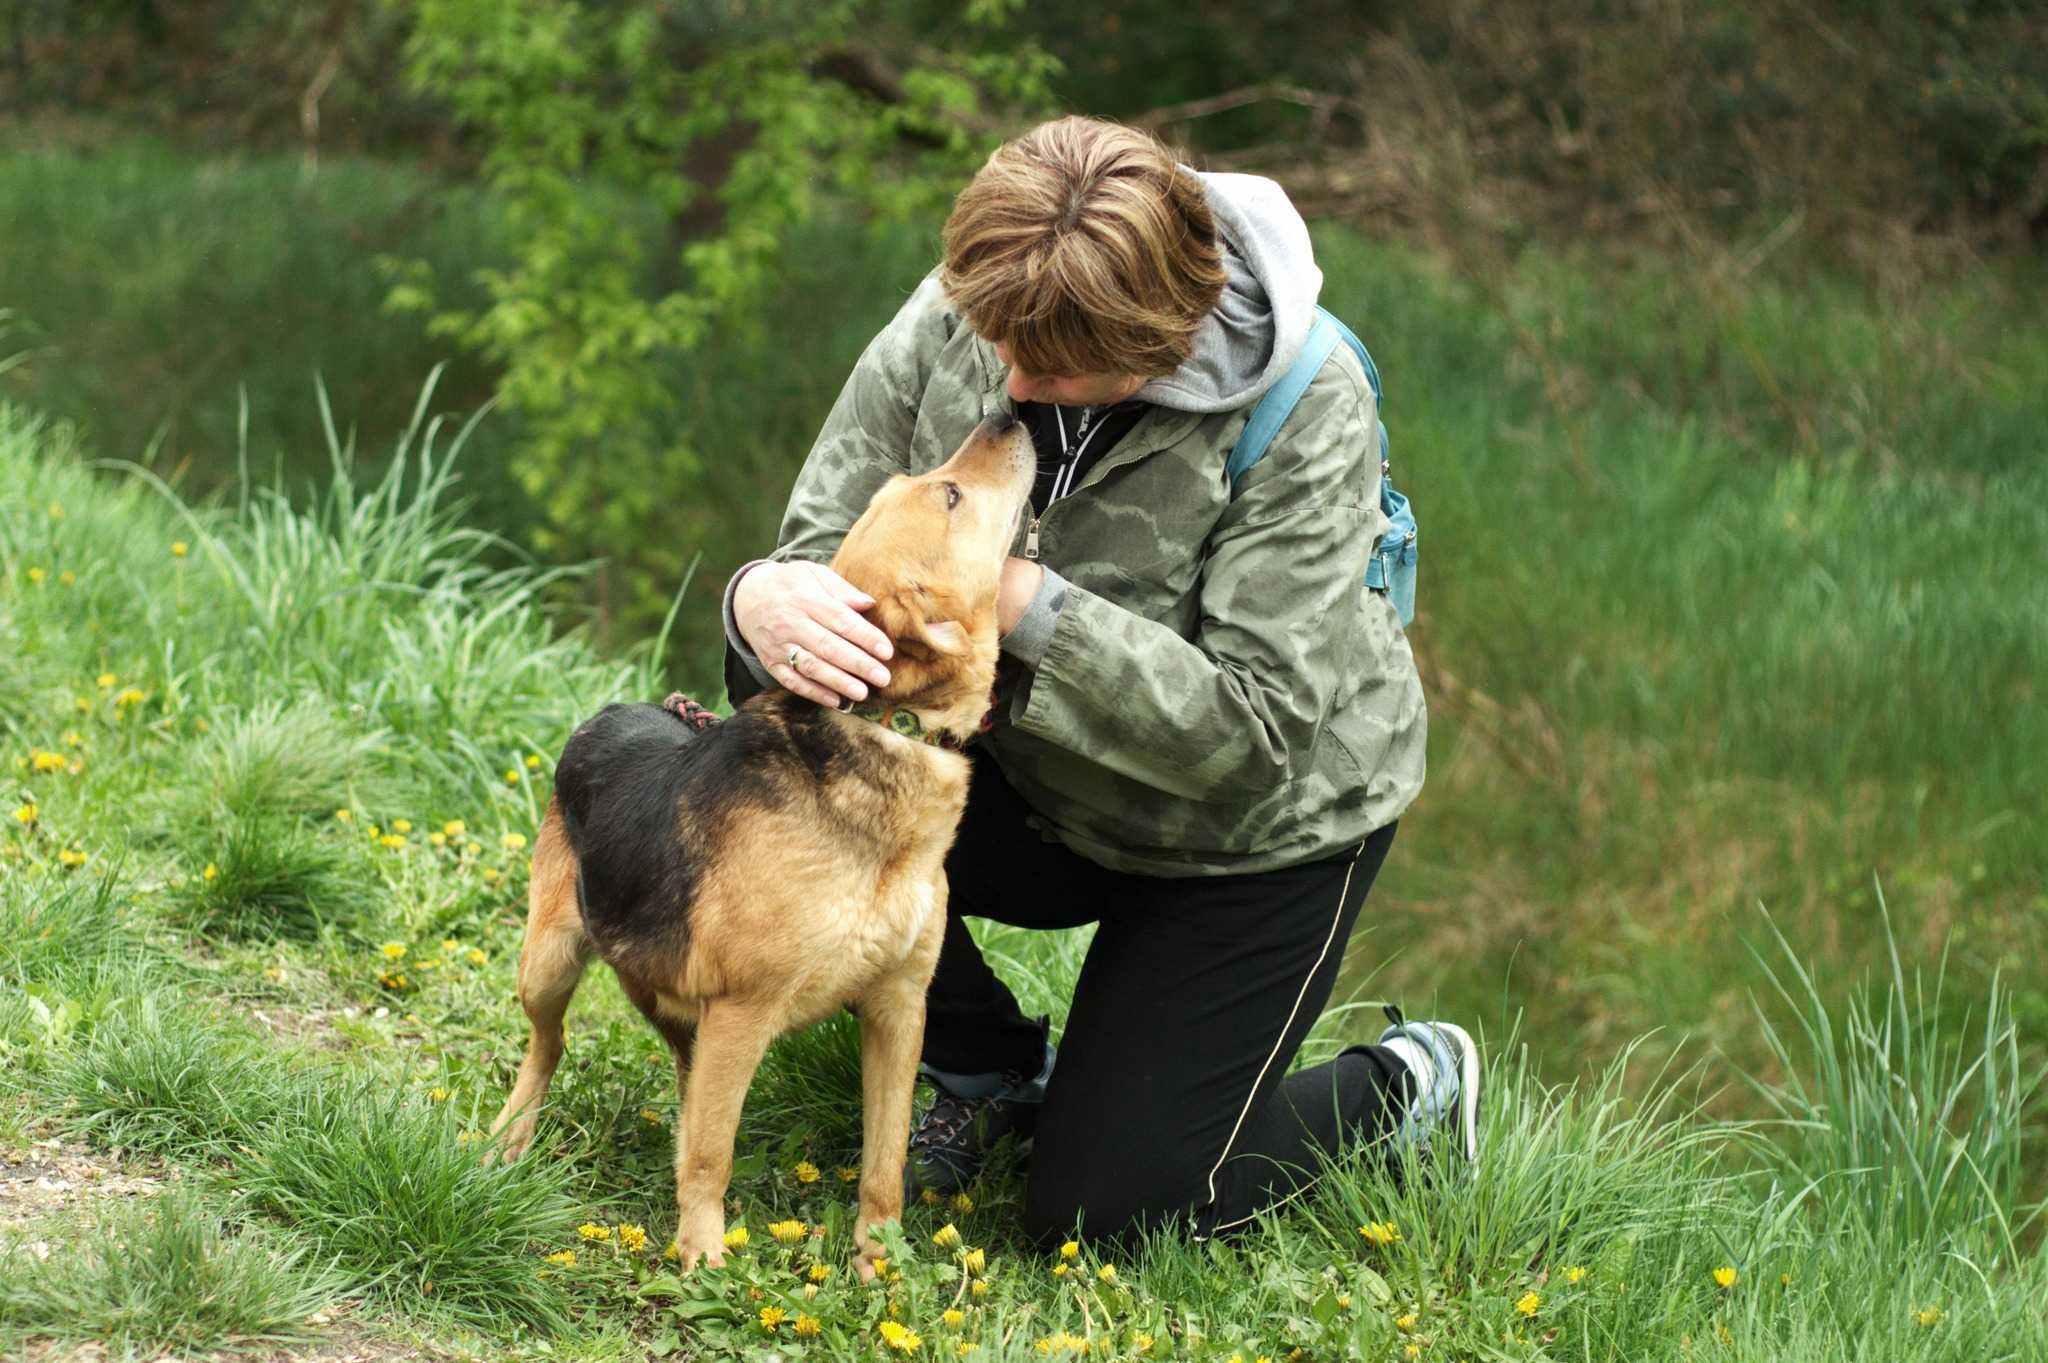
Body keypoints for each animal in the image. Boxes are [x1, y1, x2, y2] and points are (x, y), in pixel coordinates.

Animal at [491, 413, 1040, 1277]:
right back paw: (511, 1136)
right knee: (548, 1048)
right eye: (949, 493)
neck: (880, 731)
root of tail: (614, 710)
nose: (1008, 414)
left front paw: (880, 1268)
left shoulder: (898, 1007)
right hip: (548, 964)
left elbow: (883, 1162)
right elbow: (713, 1155)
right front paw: (705, 1261)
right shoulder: (743, 1010)